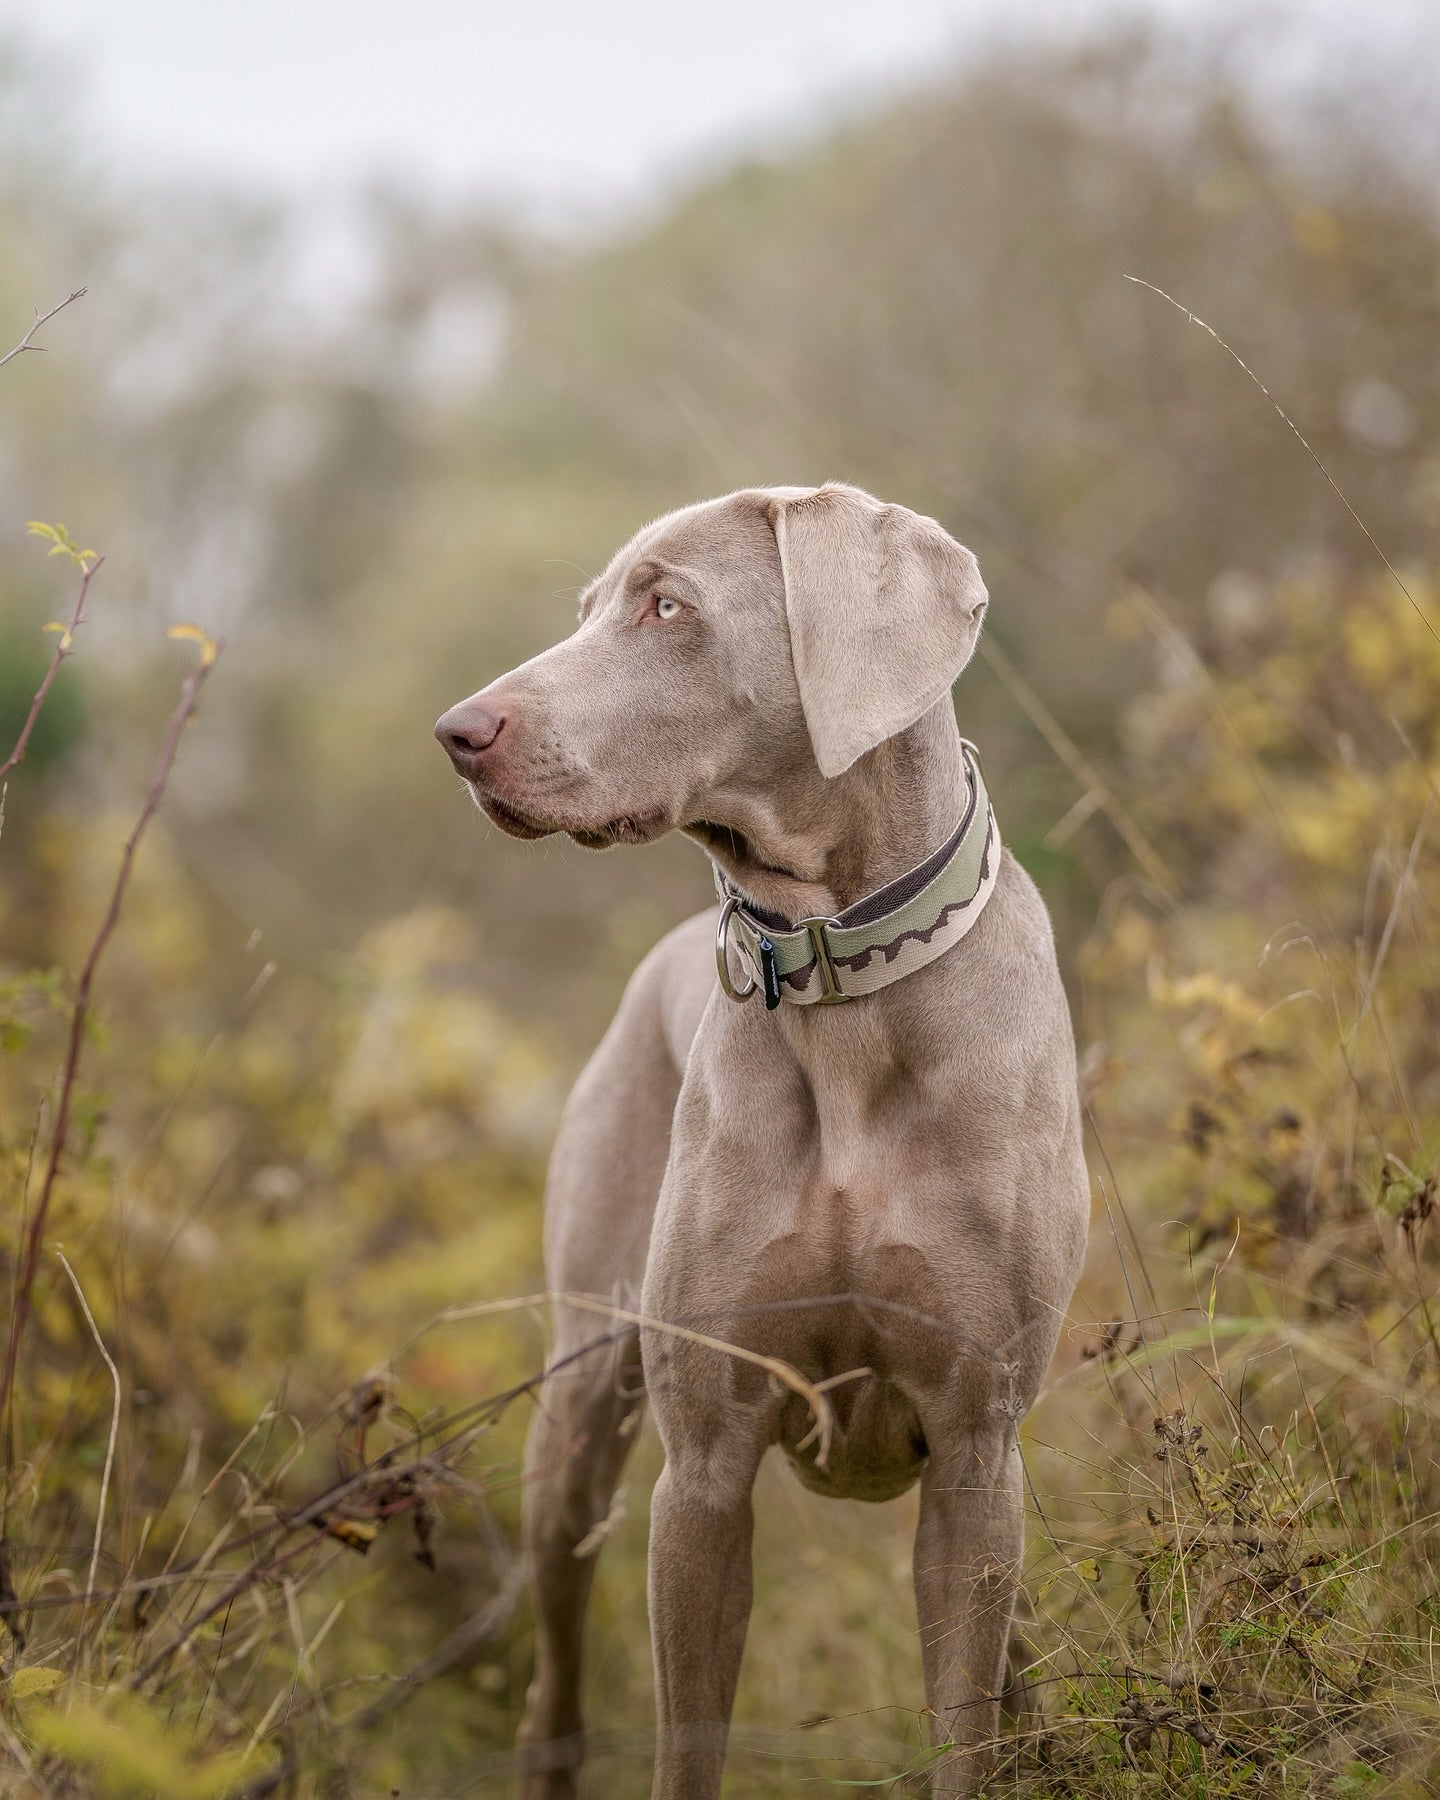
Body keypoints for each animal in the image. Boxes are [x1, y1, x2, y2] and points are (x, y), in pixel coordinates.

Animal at [433, 482, 1087, 1800]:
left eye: (667, 606)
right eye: (589, 607)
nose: (457, 732)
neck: (843, 976)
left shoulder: (978, 1445)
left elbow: (965, 1720)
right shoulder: (705, 1463)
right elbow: (688, 1737)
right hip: (579, 1409)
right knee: (555, 1674)